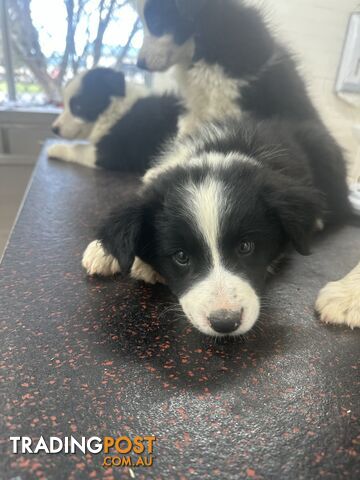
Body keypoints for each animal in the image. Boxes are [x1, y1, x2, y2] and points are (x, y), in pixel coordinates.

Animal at [47, 66, 183, 173]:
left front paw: (56, 148)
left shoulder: (112, 153)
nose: (54, 129)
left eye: (78, 107)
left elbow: (78, 148)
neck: (112, 110)